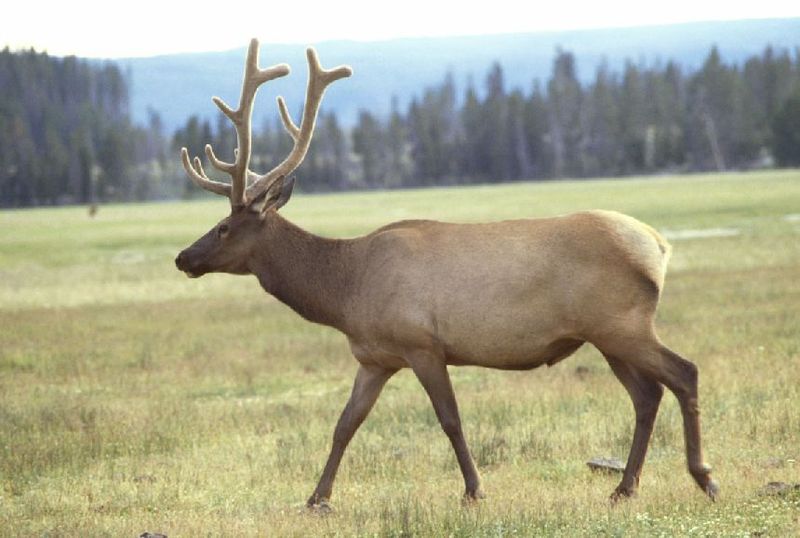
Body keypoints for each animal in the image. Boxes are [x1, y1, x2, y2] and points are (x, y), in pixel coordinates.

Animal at [174, 39, 719, 509]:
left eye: (223, 227)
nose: (183, 257)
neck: (346, 294)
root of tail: (659, 245)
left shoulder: (422, 344)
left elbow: (450, 420)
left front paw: (475, 490)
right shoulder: (375, 357)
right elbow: (345, 424)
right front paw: (316, 498)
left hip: (622, 323)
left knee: (683, 372)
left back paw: (703, 477)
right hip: (605, 334)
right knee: (647, 394)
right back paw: (624, 487)